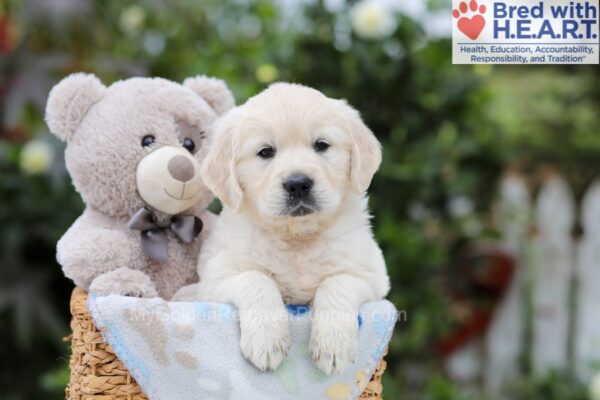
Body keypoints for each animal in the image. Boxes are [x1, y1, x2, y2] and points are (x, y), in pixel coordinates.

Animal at [196, 83, 390, 374]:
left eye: (321, 145)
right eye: (265, 151)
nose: (298, 184)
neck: (297, 237)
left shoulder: (371, 275)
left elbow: (336, 282)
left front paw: (333, 345)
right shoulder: (215, 278)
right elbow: (256, 278)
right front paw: (267, 340)